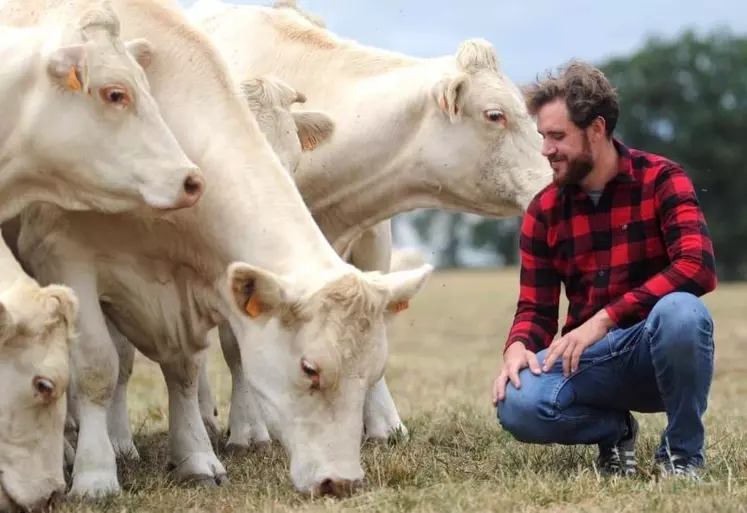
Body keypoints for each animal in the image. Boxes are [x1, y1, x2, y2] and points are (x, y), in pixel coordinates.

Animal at [5, 0, 436, 498]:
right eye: (310, 369)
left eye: (371, 371)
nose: (339, 482)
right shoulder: (64, 258)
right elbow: (98, 368)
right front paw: (96, 474)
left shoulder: (187, 282)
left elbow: (185, 369)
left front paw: (194, 455)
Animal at [184, 0, 552, 448]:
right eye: (495, 115)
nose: (552, 180)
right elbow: (235, 345)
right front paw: (249, 429)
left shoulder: (374, 237)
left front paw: (382, 422)